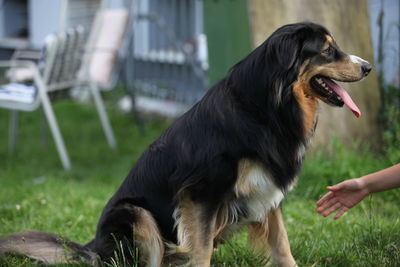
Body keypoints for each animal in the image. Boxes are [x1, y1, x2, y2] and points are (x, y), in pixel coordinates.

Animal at [0, 22, 372, 267]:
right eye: (327, 50)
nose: (368, 67)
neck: (267, 108)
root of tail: (92, 249)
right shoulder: (201, 194)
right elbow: (202, 250)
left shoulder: (267, 188)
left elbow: (281, 244)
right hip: (136, 215)